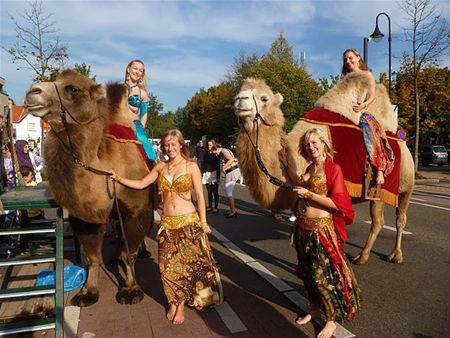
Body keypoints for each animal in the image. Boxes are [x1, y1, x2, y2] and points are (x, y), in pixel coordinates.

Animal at [25, 70, 155, 306]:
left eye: (73, 88)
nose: (32, 91)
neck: (106, 166)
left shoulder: (138, 209)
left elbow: (129, 254)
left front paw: (131, 291)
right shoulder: (87, 216)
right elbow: (93, 257)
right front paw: (88, 292)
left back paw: (143, 252)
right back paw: (113, 259)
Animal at [236, 73, 414, 264]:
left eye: (264, 98)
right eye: (240, 91)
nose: (239, 99)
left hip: (401, 188)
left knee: (394, 219)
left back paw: (385, 255)